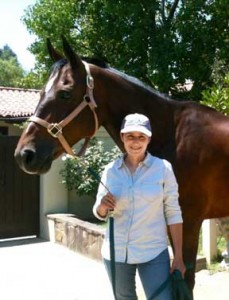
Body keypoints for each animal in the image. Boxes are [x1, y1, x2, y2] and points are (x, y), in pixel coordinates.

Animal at [14, 38, 229, 298]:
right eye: (41, 92)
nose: (25, 154)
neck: (174, 134)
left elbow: (184, 279)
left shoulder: (187, 221)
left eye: (64, 93)